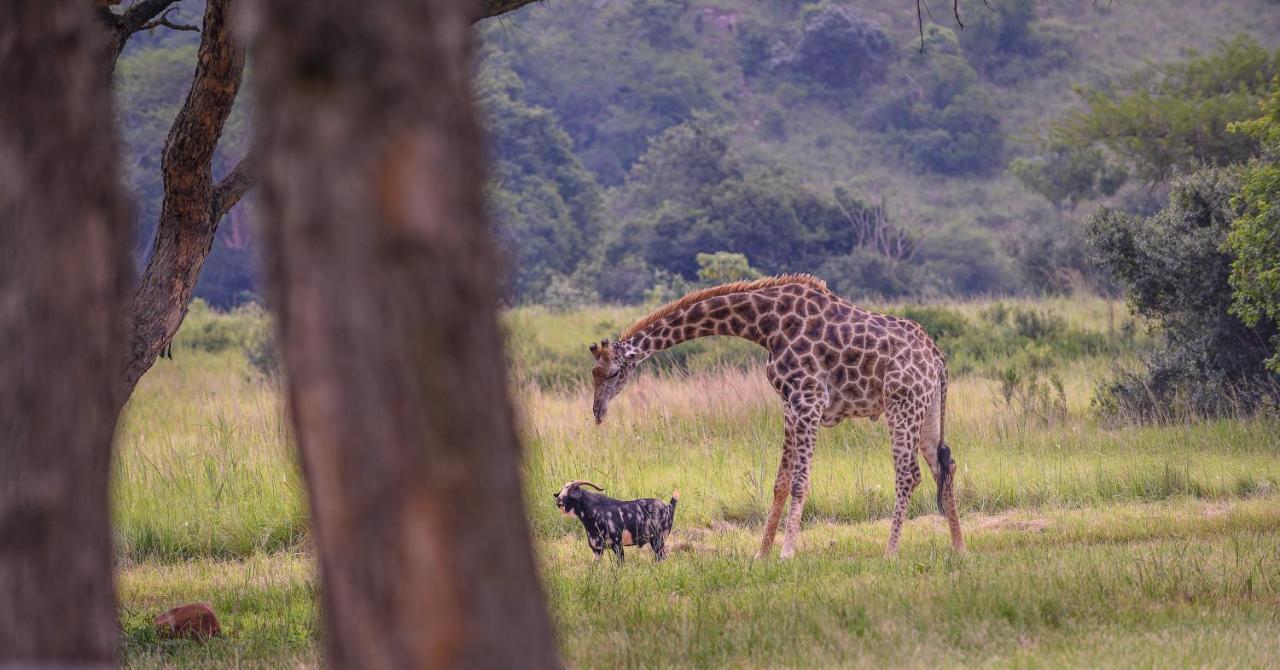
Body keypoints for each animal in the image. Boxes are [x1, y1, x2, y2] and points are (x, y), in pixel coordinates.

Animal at [588, 275, 962, 558]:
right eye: (594, 373)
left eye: (612, 373)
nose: (597, 412)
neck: (764, 326)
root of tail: (937, 356)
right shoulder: (789, 405)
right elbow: (780, 483)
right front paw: (761, 553)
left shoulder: (809, 399)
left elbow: (799, 482)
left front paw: (786, 552)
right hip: (927, 409)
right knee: (943, 466)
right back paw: (959, 547)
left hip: (901, 403)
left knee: (909, 475)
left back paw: (890, 551)